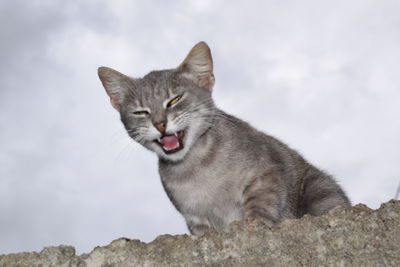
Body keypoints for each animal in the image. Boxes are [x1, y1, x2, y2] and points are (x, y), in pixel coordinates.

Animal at [97, 40, 350, 236]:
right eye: (141, 112)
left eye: (175, 100)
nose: (160, 124)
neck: (195, 170)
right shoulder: (196, 221)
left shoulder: (265, 175)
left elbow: (261, 206)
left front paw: (253, 224)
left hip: (320, 188)